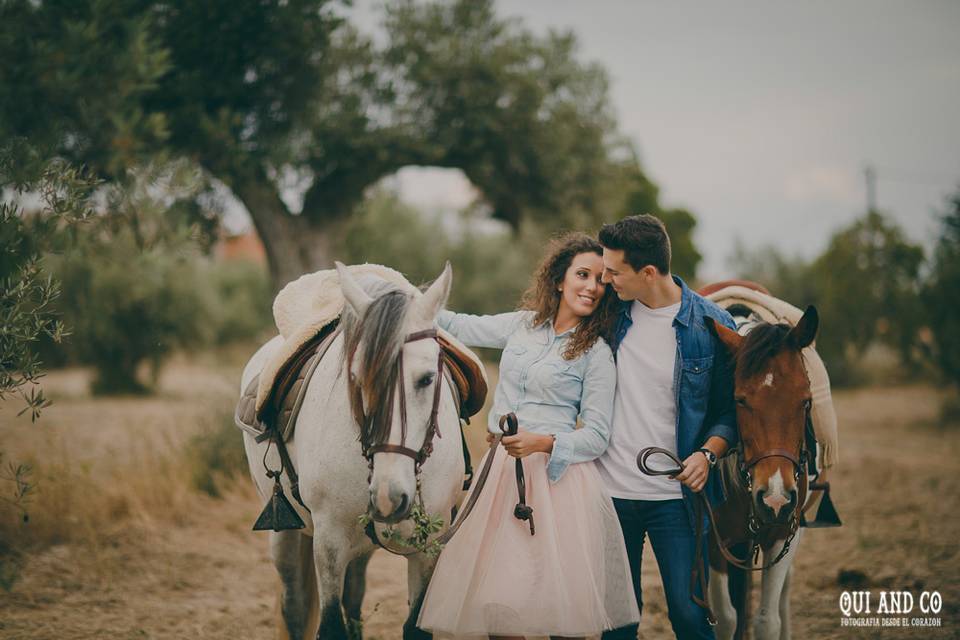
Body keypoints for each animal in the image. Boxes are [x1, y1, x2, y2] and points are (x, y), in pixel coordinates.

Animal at [240, 264, 464, 640]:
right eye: (358, 378)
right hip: (286, 534)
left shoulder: (428, 546)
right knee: (295, 607)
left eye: (426, 378)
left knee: (354, 599)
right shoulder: (329, 542)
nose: (389, 496)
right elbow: (331, 626)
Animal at [700, 304, 820, 640]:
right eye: (739, 400)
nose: (775, 498)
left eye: (806, 400)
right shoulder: (712, 540)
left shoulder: (782, 533)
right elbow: (725, 618)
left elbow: (767, 621)